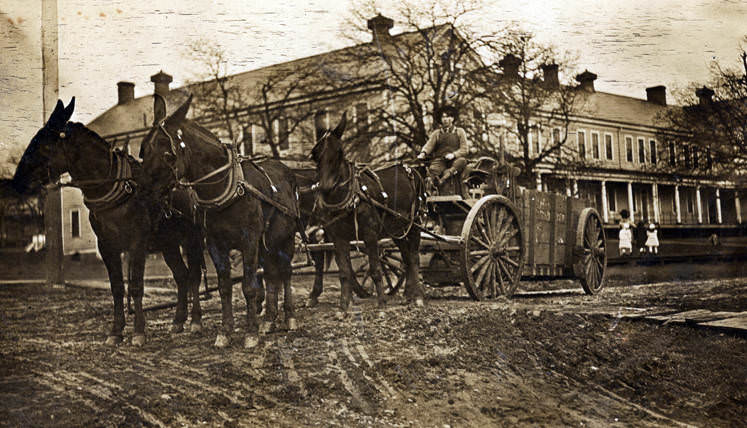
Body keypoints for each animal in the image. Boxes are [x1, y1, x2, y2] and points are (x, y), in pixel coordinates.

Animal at [11, 98, 205, 346]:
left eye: (44, 144)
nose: (17, 181)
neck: (114, 187)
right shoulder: (107, 246)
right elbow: (117, 288)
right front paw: (116, 331)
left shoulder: (137, 244)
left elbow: (136, 286)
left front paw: (138, 332)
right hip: (168, 244)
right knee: (181, 276)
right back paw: (178, 321)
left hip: (192, 239)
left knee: (194, 276)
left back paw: (196, 321)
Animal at [142, 94, 300, 348]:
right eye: (143, 149)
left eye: (168, 153)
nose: (143, 191)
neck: (228, 189)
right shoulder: (216, 244)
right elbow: (225, 287)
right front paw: (225, 331)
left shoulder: (249, 242)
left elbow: (249, 287)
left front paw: (250, 332)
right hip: (266, 244)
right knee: (271, 274)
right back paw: (269, 320)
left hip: (286, 238)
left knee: (285, 272)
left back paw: (289, 317)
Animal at [310, 112, 426, 310]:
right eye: (315, 154)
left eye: (340, 152)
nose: (326, 188)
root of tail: (411, 169)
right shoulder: (338, 238)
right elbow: (344, 272)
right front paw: (343, 307)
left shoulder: (370, 235)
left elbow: (375, 270)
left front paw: (382, 304)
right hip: (396, 229)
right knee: (406, 257)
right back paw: (408, 295)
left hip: (414, 224)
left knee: (414, 257)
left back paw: (417, 297)